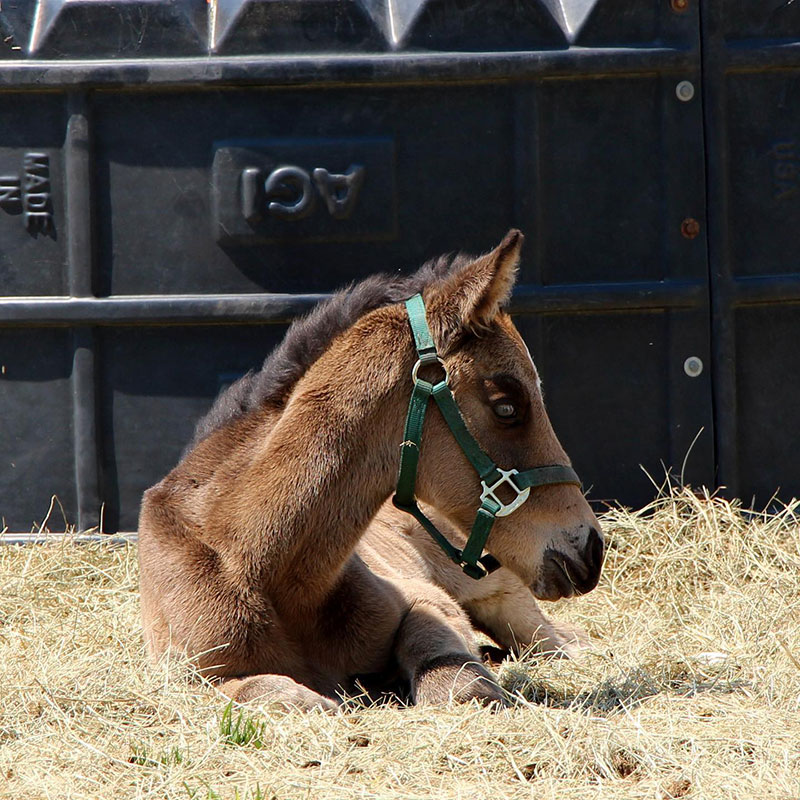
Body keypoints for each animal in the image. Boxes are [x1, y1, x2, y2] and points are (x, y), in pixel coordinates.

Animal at [138, 230, 604, 709]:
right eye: (507, 406)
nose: (591, 548)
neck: (267, 573)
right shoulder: (182, 673)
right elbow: (263, 689)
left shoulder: (424, 601)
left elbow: (454, 674)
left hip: (509, 601)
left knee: (559, 639)